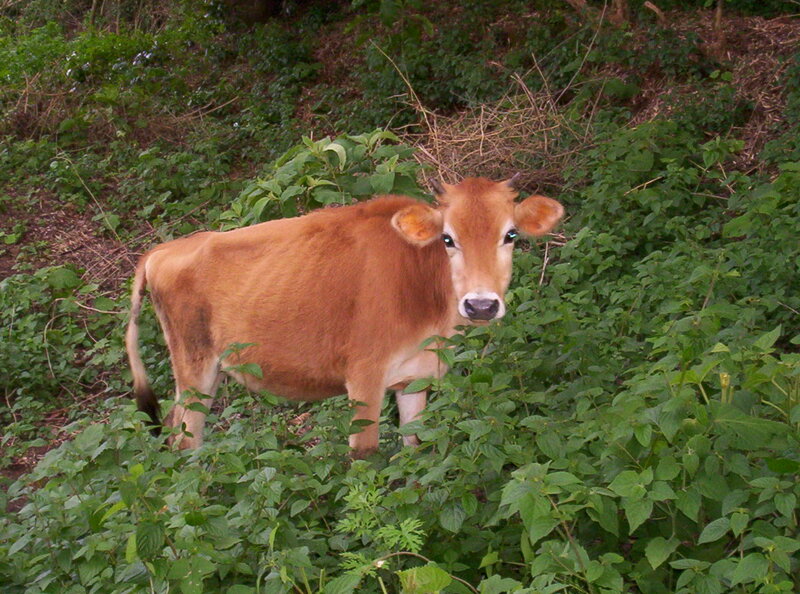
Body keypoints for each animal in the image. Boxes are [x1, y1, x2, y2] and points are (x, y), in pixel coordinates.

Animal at [125, 176, 563, 457]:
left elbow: (416, 447)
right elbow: (364, 457)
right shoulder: (364, 377)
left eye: (510, 235)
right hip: (194, 366)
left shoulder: (415, 376)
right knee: (186, 439)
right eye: (447, 238)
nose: (481, 305)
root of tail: (164, 249)